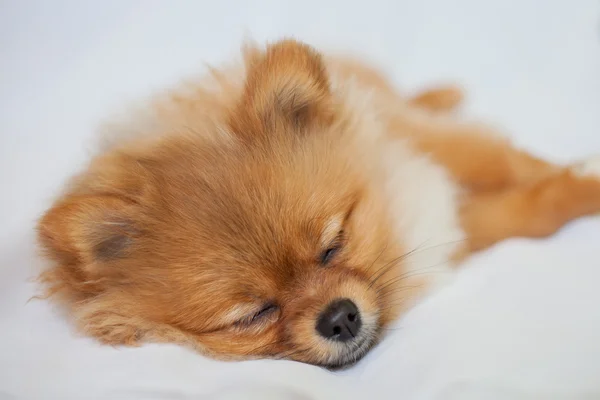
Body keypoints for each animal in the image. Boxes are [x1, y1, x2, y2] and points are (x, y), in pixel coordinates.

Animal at [35, 39, 600, 368]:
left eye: (334, 245)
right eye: (254, 315)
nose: (339, 318)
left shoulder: (428, 146)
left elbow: (507, 161)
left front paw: (581, 179)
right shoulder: (449, 219)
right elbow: (526, 211)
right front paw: (568, 188)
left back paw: (442, 92)